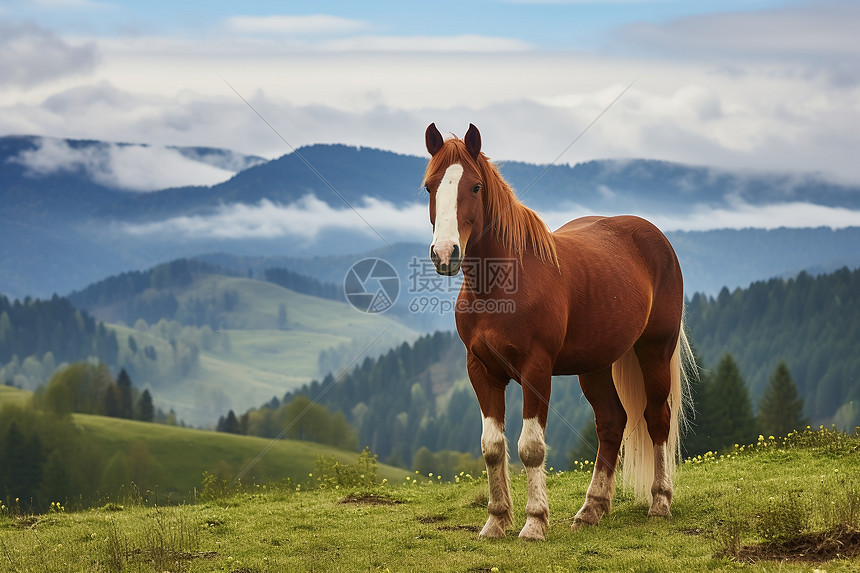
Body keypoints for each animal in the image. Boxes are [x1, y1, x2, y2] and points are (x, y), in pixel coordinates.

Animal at [420, 123, 696, 540]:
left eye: (475, 187)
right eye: (429, 187)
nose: (445, 253)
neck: (502, 285)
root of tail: (654, 237)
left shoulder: (536, 371)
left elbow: (531, 447)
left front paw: (534, 523)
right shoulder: (481, 370)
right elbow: (492, 446)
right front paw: (496, 521)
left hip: (654, 350)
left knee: (657, 418)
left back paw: (660, 502)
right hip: (595, 365)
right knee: (612, 422)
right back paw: (591, 509)